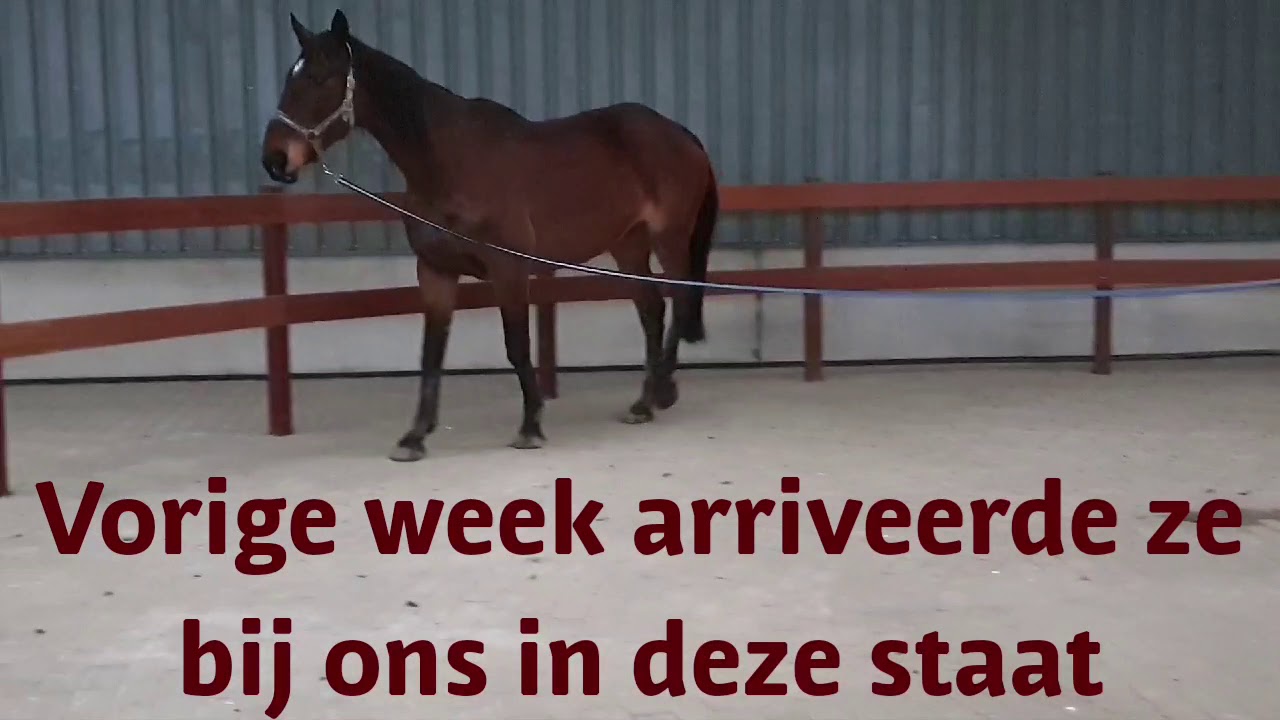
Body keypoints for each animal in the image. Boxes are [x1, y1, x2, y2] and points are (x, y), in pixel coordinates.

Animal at [260, 9, 720, 462]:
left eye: (320, 78)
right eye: (289, 76)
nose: (274, 159)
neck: (451, 163)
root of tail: (680, 133)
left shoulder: (508, 269)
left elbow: (516, 345)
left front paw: (531, 425)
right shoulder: (435, 272)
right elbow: (431, 352)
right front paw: (415, 436)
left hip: (669, 237)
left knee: (679, 299)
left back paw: (662, 391)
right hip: (628, 243)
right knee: (652, 310)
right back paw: (645, 402)